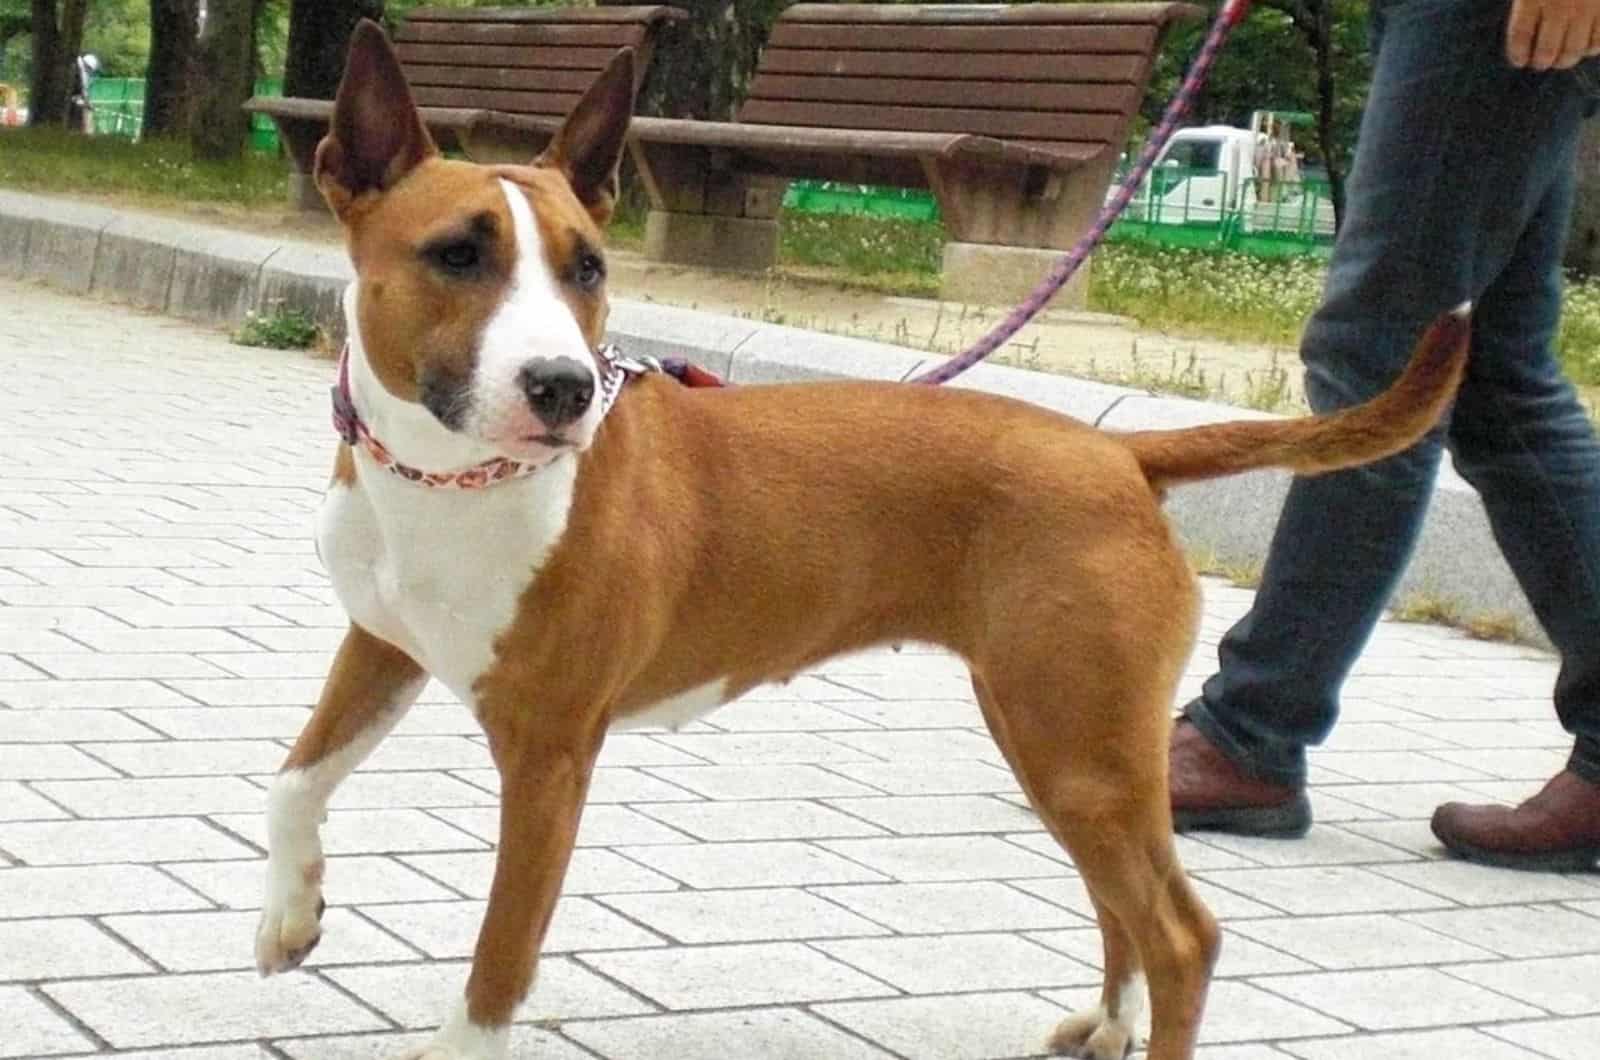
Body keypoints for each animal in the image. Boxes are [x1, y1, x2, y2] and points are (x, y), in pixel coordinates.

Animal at [256, 22, 1465, 1060]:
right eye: (458, 255)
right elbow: (294, 777)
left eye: (586, 268)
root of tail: (1119, 454)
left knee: (1181, 933)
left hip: (1078, 741)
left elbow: (501, 951)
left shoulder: (550, 753)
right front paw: (289, 916)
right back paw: (1108, 1021)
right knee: (1121, 899)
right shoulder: (380, 647)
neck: (445, 478)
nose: (560, 389)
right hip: (1057, 738)